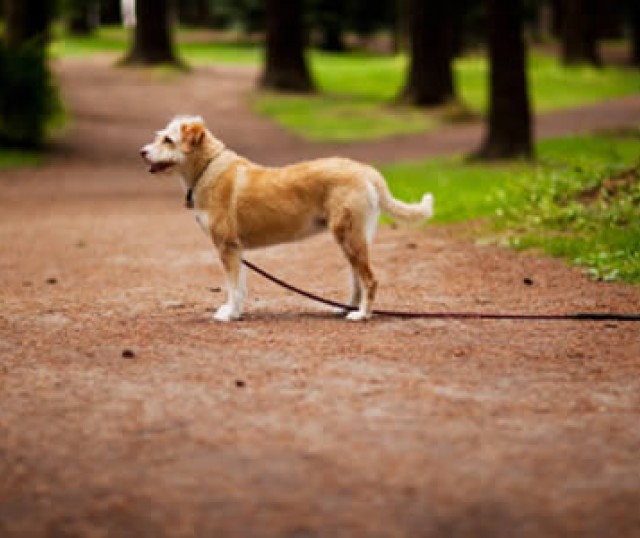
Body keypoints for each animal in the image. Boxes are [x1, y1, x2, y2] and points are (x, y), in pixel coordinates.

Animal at [138, 115, 432, 320]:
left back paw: (362, 315)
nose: (142, 152)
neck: (208, 169)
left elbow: (233, 286)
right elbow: (239, 286)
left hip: (349, 237)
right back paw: (347, 309)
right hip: (352, 239)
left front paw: (230, 314)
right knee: (357, 280)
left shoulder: (227, 246)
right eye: (160, 136)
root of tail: (366, 171)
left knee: (370, 279)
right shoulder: (235, 249)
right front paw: (234, 311)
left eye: (168, 140)